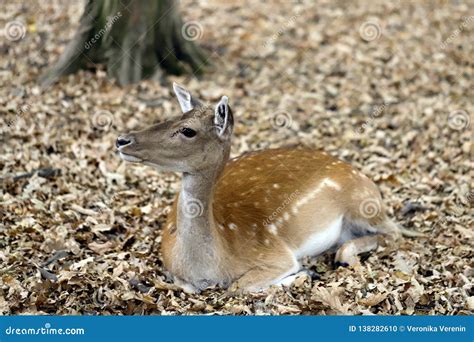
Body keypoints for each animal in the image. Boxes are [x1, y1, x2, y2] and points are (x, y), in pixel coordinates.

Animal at [117, 83, 404, 292]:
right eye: (173, 116)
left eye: (188, 130)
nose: (122, 139)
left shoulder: (275, 254)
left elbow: (238, 287)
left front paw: (303, 274)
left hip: (363, 204)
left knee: (394, 232)